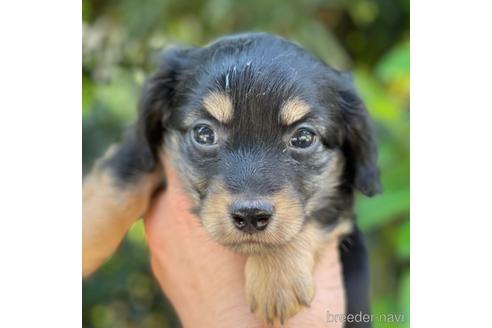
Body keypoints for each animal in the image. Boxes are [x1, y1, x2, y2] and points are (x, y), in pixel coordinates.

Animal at [82, 32, 380, 326]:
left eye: (303, 138)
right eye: (204, 133)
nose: (250, 215)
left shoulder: (341, 197)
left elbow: (320, 213)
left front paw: (276, 279)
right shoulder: (141, 149)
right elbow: (119, 182)